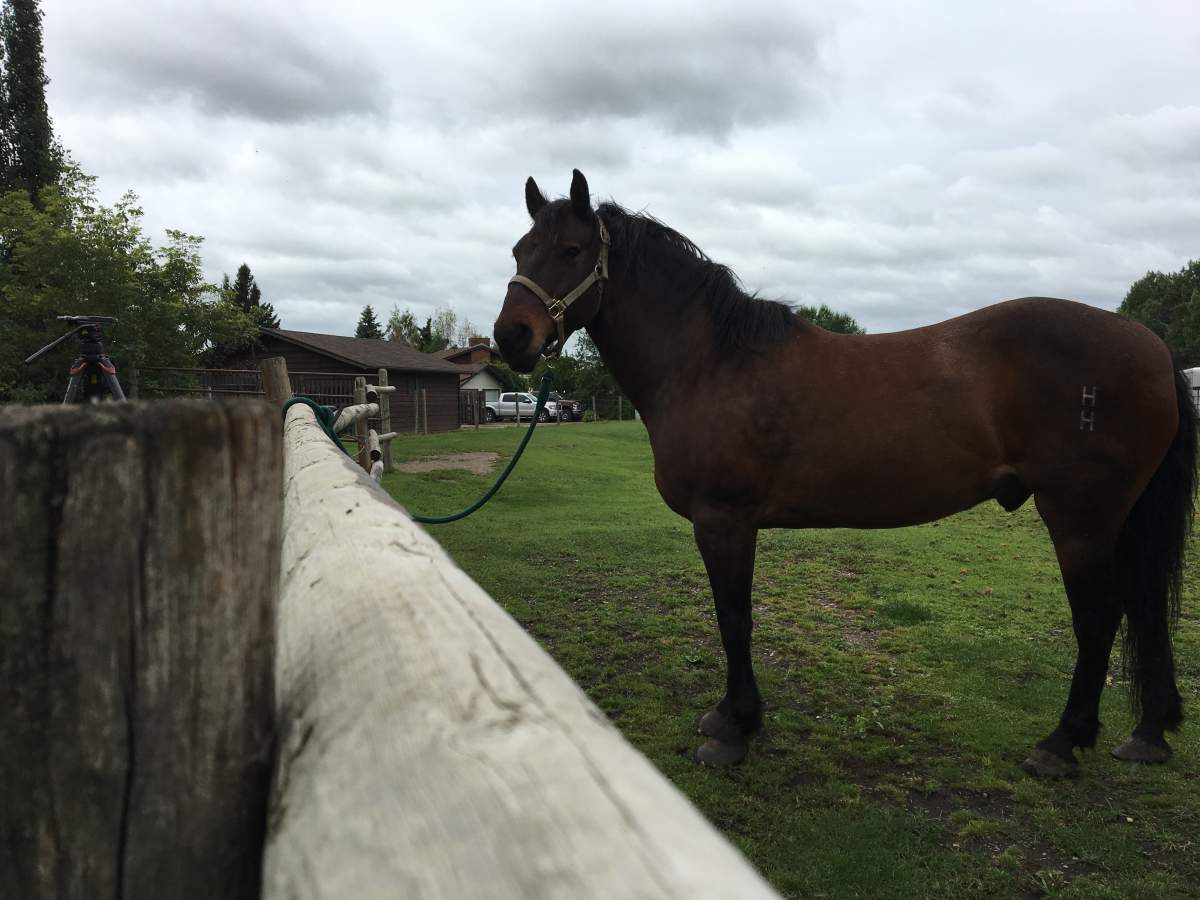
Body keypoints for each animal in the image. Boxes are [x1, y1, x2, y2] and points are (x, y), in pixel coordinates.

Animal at [493, 169, 1196, 777]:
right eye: (520, 250)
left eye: (573, 249)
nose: (512, 337)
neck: (710, 363)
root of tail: (1153, 346)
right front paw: (729, 717)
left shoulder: (725, 521)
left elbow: (733, 618)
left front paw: (737, 727)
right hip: (1120, 520)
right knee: (1142, 608)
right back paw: (1147, 734)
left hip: (1080, 520)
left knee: (1100, 617)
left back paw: (1061, 743)